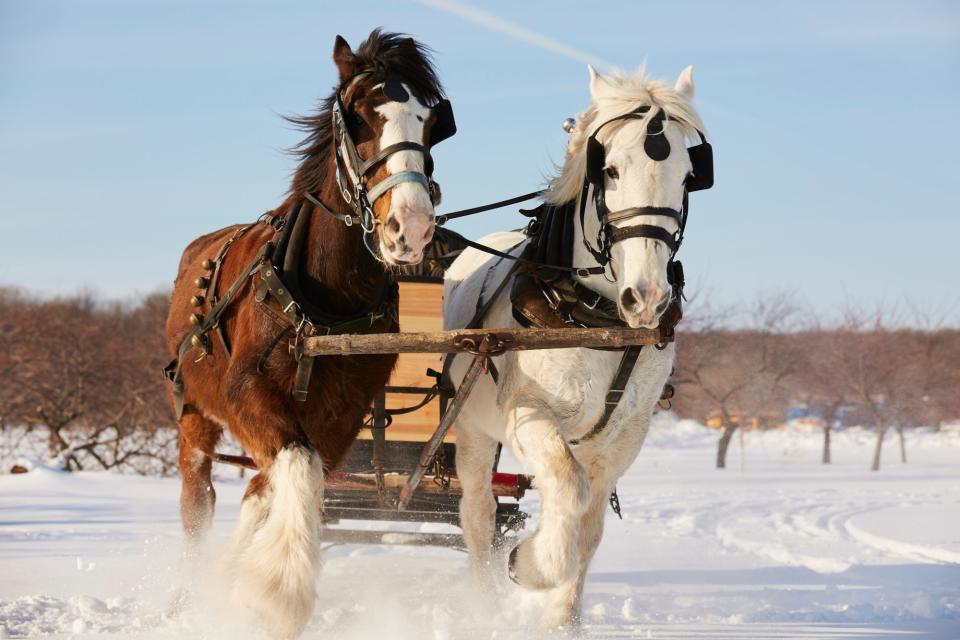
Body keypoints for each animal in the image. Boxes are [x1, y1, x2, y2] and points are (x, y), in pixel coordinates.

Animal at [164, 31, 454, 640]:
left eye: (432, 121)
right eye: (361, 116)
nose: (412, 227)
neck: (328, 299)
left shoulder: (340, 417)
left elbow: (300, 474)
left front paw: (259, 583)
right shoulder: (244, 392)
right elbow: (300, 467)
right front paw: (280, 594)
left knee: (259, 489)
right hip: (194, 412)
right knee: (198, 498)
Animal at [446, 66, 708, 632]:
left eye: (687, 177)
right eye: (608, 170)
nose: (647, 297)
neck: (600, 321)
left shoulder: (622, 439)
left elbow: (587, 529)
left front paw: (561, 618)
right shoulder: (526, 413)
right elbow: (566, 488)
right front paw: (530, 564)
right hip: (473, 428)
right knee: (477, 514)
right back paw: (482, 603)